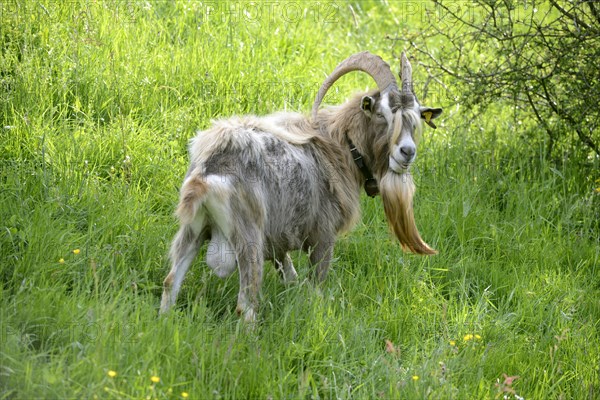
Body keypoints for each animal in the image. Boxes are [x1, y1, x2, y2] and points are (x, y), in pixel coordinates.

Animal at [159, 52, 440, 322]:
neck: (340, 146)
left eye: (415, 119)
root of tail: (209, 170)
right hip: (248, 235)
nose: (407, 152)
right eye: (382, 114)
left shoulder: (278, 241)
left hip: (193, 230)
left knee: (170, 283)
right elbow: (315, 286)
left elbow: (290, 277)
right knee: (245, 304)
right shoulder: (323, 236)